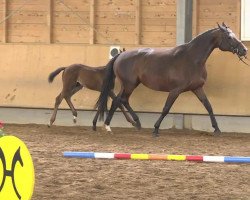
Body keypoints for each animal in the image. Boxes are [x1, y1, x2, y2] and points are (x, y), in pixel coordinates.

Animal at [95, 23, 248, 136]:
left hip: (130, 85)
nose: (244, 50)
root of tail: (120, 55)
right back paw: (110, 125)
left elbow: (208, 106)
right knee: (119, 100)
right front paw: (156, 129)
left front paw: (217, 129)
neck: (191, 59)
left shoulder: (197, 88)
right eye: (229, 37)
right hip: (129, 85)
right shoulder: (175, 90)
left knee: (122, 100)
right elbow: (166, 108)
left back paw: (134, 124)